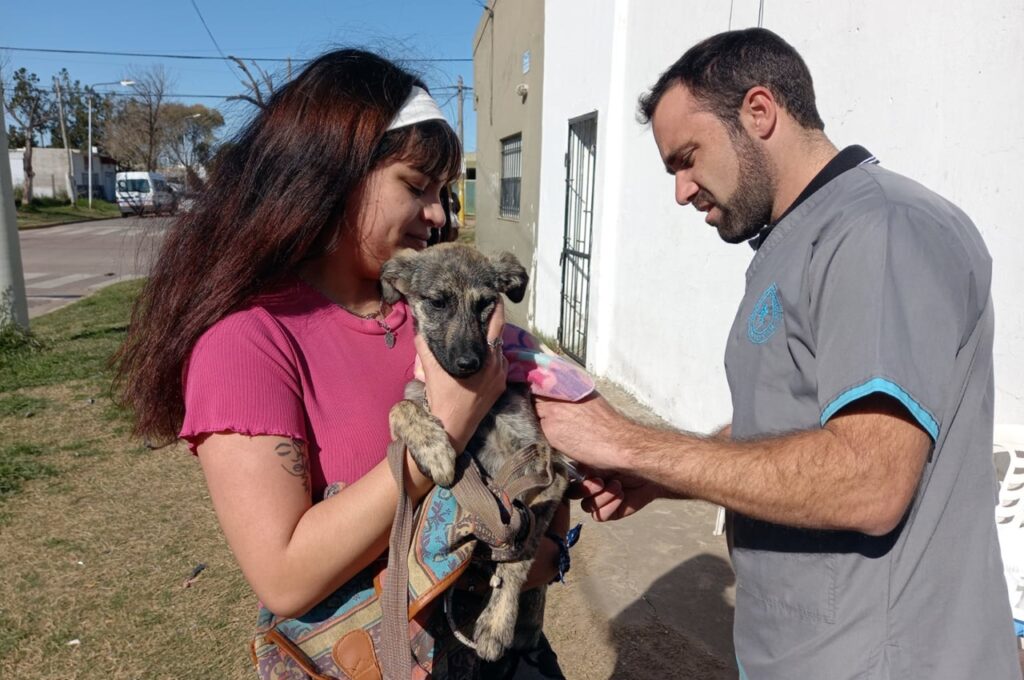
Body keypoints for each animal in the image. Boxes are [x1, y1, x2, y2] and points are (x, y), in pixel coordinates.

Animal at [385, 241, 573, 659]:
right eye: (437, 302)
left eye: (485, 303)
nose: (468, 364)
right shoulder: (416, 392)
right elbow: (399, 406)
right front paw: (436, 450)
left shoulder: (550, 470)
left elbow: (520, 555)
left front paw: (495, 623)